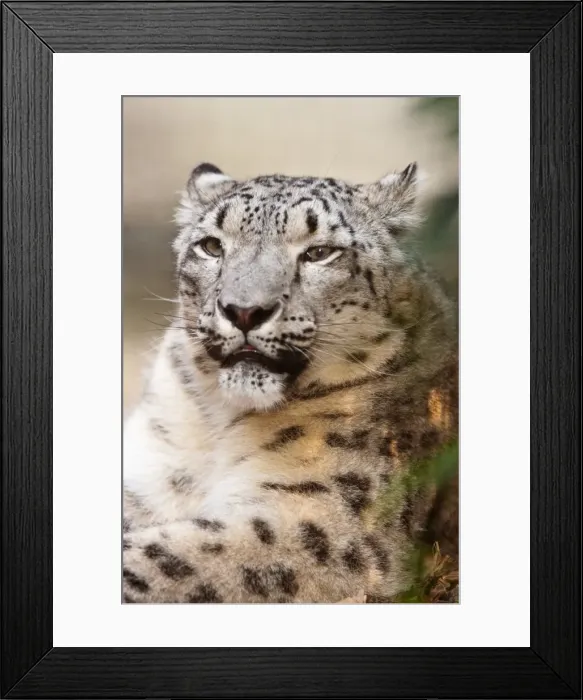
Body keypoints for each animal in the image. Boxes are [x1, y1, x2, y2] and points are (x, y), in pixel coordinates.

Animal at [122, 161, 458, 603]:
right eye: (211, 246)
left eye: (319, 252)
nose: (243, 311)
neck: (217, 424)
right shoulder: (147, 471)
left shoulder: (324, 519)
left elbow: (169, 557)